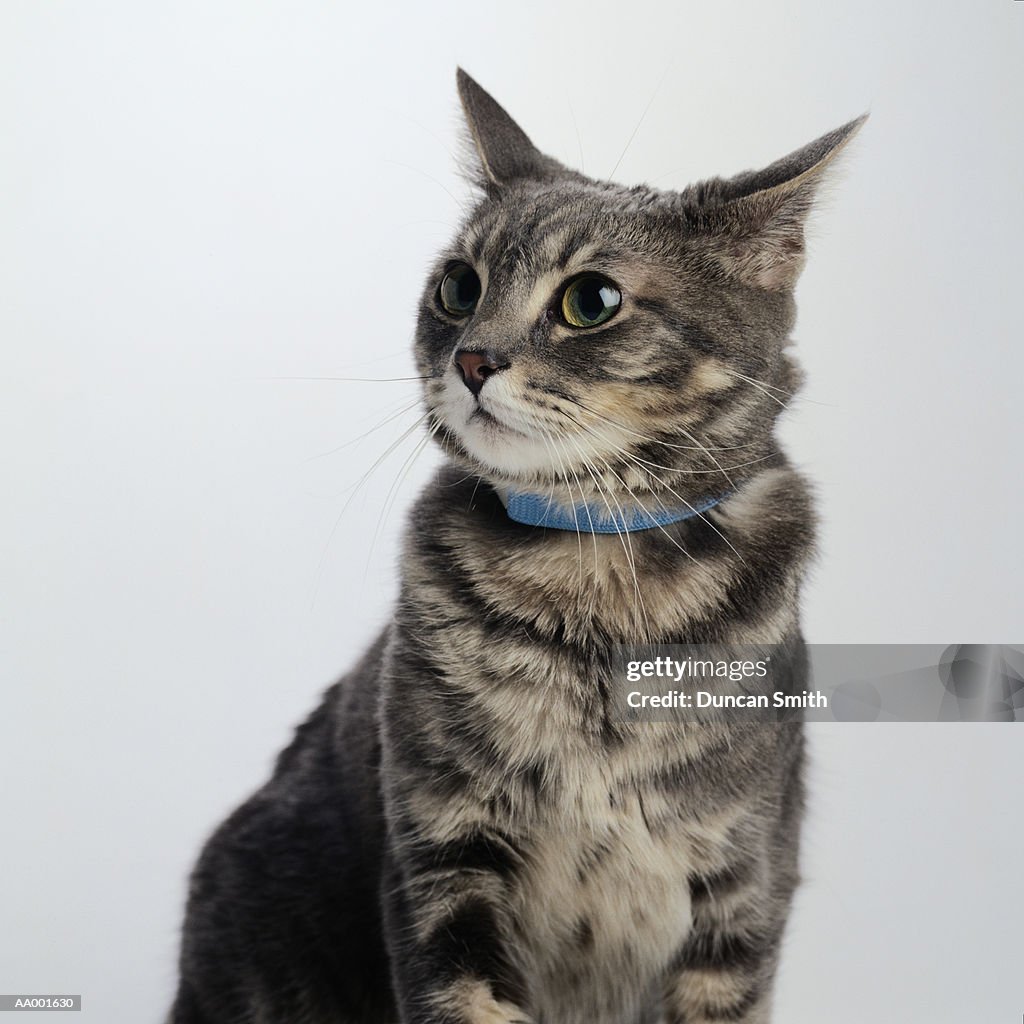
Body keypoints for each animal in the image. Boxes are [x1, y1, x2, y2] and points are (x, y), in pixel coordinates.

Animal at [169, 68, 864, 1019]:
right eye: (459, 286)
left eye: (591, 301)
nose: (472, 358)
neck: (597, 579)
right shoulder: (441, 859)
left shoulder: (745, 886)